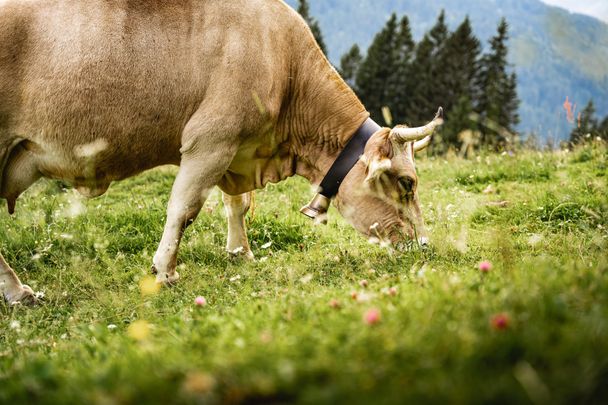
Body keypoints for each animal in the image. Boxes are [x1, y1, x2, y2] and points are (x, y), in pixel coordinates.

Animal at [2, 0, 444, 304]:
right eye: (407, 183)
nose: (423, 246)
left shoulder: (236, 147)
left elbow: (237, 203)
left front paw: (240, 252)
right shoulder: (210, 139)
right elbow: (183, 208)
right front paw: (164, 273)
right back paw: (20, 292)